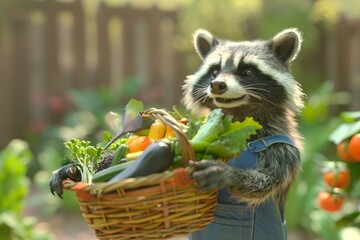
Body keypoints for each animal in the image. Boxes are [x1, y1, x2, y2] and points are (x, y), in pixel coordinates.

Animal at [183, 28, 304, 216]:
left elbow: (267, 180)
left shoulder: (283, 145)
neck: (238, 112)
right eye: (215, 72)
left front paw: (232, 174)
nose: (216, 84)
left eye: (248, 72)